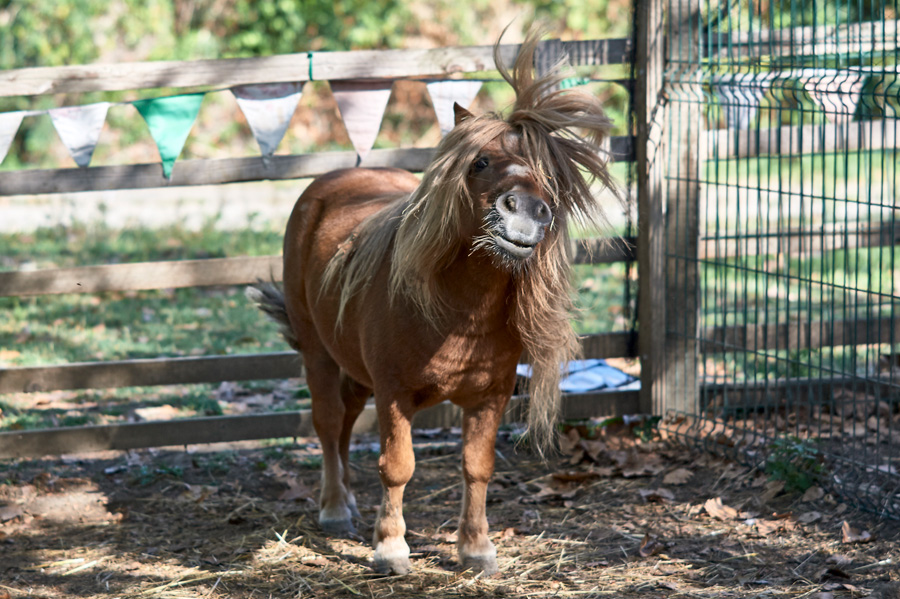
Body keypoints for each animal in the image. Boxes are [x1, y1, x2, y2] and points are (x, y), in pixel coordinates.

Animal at [253, 29, 620, 576]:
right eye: (480, 162)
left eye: (552, 176)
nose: (527, 212)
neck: (458, 313)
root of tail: (328, 183)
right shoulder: (394, 393)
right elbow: (397, 467)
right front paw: (390, 548)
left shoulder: (489, 396)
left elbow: (477, 467)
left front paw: (476, 548)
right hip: (319, 354)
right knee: (327, 422)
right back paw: (335, 507)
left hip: (354, 369)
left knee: (344, 423)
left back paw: (348, 500)